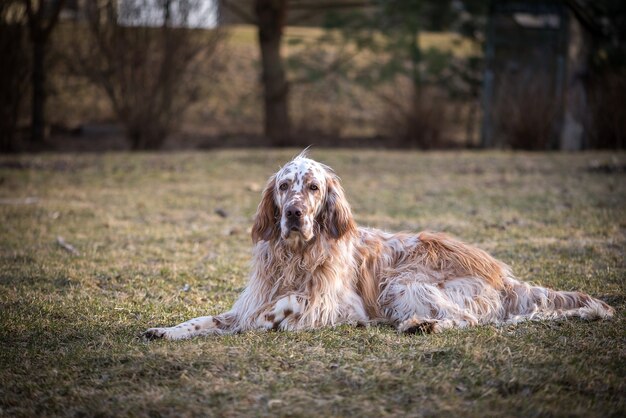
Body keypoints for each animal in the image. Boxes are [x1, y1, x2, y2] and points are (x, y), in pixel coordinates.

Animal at [144, 151, 612, 340]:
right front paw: (166, 330)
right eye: (284, 186)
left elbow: (293, 302)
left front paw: (272, 318)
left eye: (312, 188)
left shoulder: (342, 306)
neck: (296, 255)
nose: (293, 214)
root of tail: (503, 275)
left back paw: (423, 326)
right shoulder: (244, 303)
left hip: (404, 284)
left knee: (467, 320)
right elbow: (204, 320)